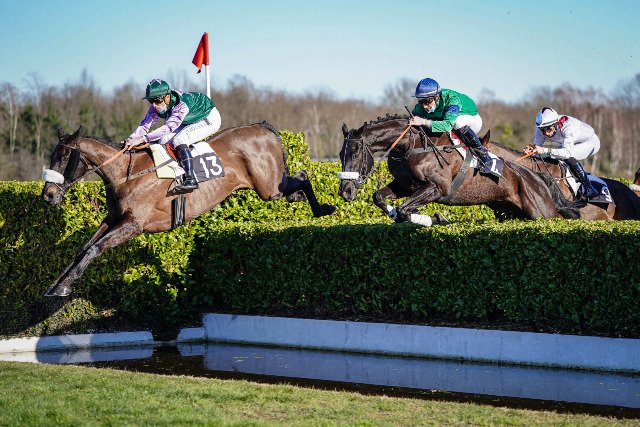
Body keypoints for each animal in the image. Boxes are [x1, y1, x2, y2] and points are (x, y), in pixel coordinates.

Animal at [41, 123, 336, 297]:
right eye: (52, 156)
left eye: (65, 158)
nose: (48, 195)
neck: (126, 173)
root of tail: (264, 128)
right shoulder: (113, 219)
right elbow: (83, 248)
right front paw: (56, 285)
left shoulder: (134, 224)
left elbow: (94, 248)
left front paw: (62, 288)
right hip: (270, 187)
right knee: (297, 181)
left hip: (269, 188)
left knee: (302, 176)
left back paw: (324, 208)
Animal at [338, 115, 579, 223]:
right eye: (340, 155)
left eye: (356, 154)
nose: (344, 191)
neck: (412, 146)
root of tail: (536, 176)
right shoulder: (405, 186)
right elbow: (380, 197)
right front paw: (396, 213)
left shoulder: (437, 188)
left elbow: (406, 209)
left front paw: (435, 218)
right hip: (510, 210)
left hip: (542, 212)